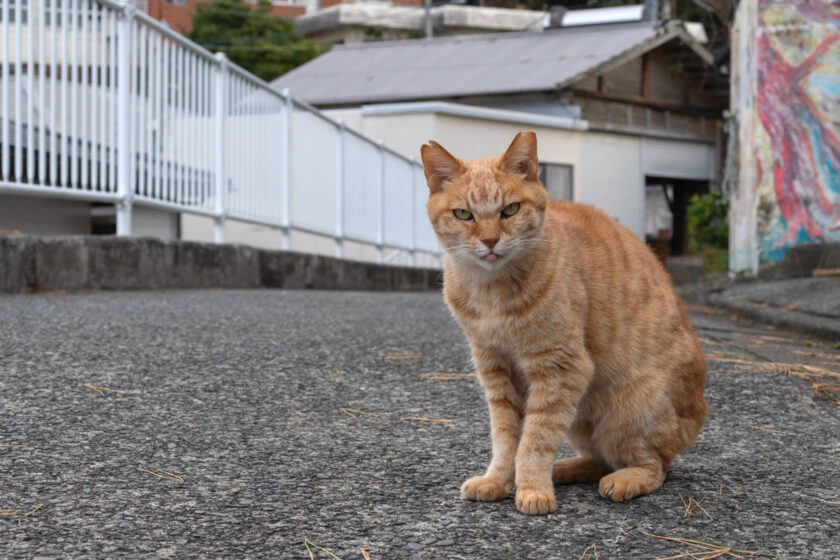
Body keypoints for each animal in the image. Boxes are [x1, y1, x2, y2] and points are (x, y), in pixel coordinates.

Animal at [424, 132, 704, 516]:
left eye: (510, 210)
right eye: (464, 214)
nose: (490, 241)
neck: (492, 294)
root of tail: (699, 411)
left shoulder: (560, 368)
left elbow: (535, 439)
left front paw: (532, 489)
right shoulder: (494, 369)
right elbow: (506, 437)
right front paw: (499, 480)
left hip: (630, 413)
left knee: (653, 465)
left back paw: (622, 480)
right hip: (582, 420)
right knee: (600, 459)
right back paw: (562, 469)